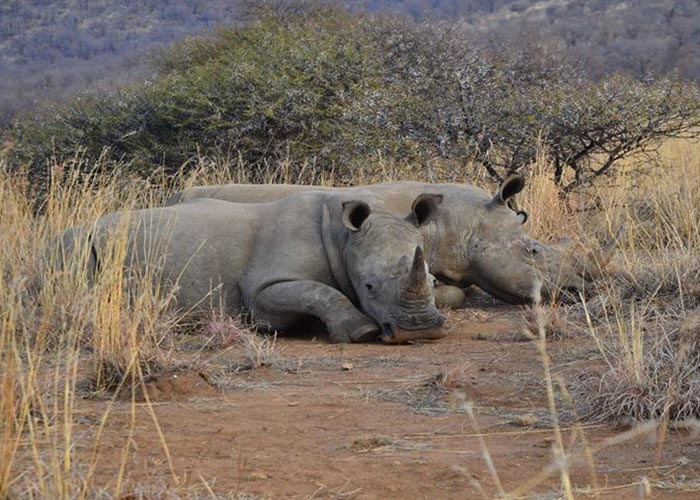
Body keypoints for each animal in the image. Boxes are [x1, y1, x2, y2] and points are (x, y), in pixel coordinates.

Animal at [62, 192, 447, 343]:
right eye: (368, 286)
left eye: (432, 279)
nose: (418, 330)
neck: (344, 239)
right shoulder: (263, 292)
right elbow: (319, 292)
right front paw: (362, 332)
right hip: (77, 243)